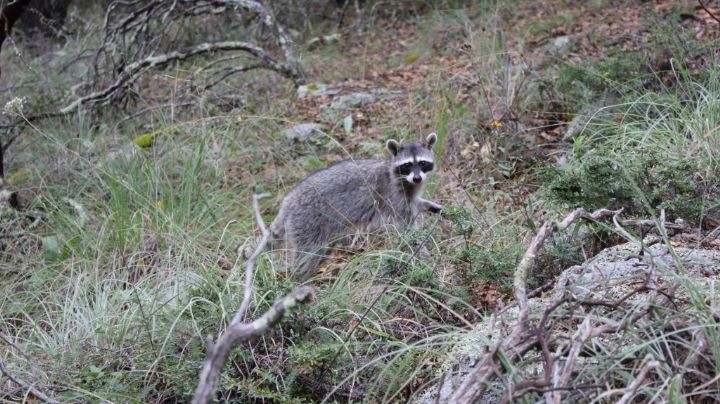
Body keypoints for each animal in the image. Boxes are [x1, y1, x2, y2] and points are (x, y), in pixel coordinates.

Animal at [268, 133, 442, 280]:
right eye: (407, 165)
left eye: (422, 163)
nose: (417, 178)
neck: (407, 181)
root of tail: (288, 200)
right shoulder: (393, 196)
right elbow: (409, 229)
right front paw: (423, 254)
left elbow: (415, 203)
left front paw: (429, 204)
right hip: (307, 222)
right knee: (308, 254)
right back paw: (299, 278)